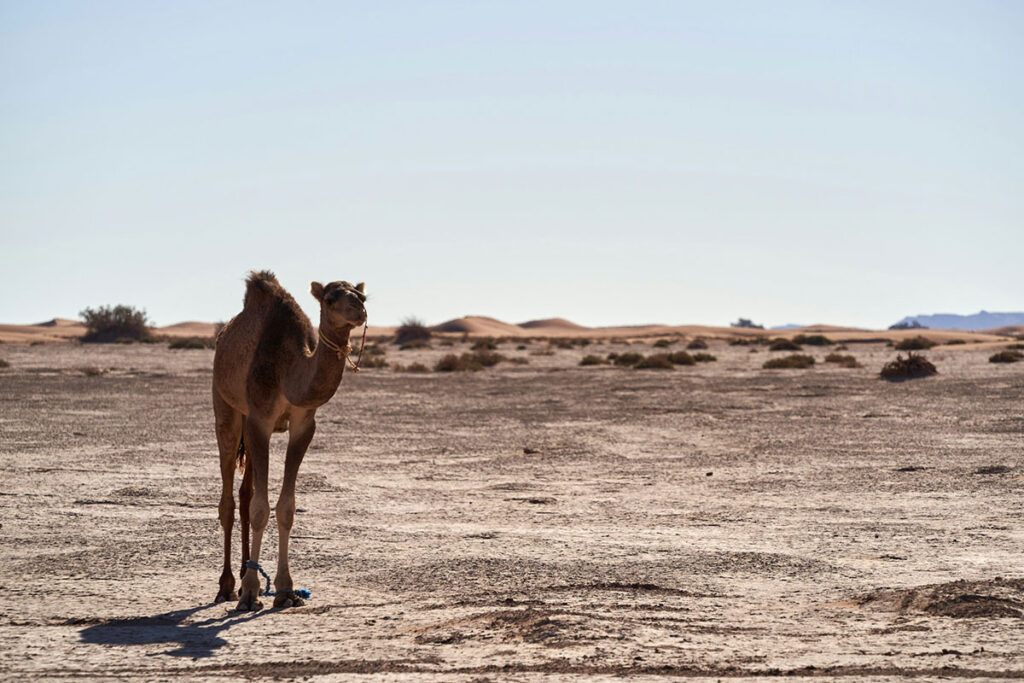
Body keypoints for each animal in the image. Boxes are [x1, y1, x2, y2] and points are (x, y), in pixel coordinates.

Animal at [212, 270, 366, 610]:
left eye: (362, 295)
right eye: (330, 299)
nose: (359, 310)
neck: (290, 371)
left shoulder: (303, 423)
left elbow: (285, 508)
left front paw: (284, 589)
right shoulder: (260, 419)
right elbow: (261, 509)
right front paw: (252, 592)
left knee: (245, 494)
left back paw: (243, 574)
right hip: (226, 409)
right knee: (229, 500)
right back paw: (228, 586)